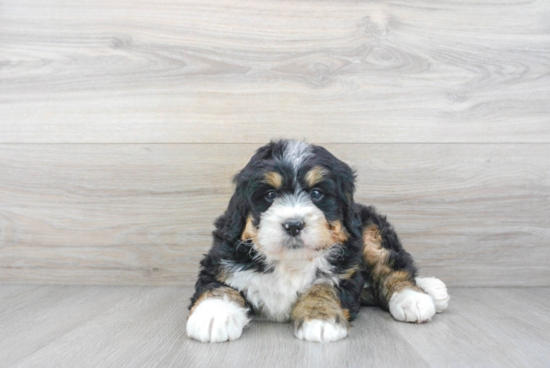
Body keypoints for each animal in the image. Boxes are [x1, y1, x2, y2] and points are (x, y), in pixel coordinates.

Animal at [188, 139, 450, 344]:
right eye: (270, 195)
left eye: (316, 194)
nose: (293, 224)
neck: (290, 261)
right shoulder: (220, 261)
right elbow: (219, 286)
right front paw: (213, 315)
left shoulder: (346, 274)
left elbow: (323, 286)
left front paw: (320, 316)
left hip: (370, 230)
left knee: (391, 265)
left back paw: (416, 296)